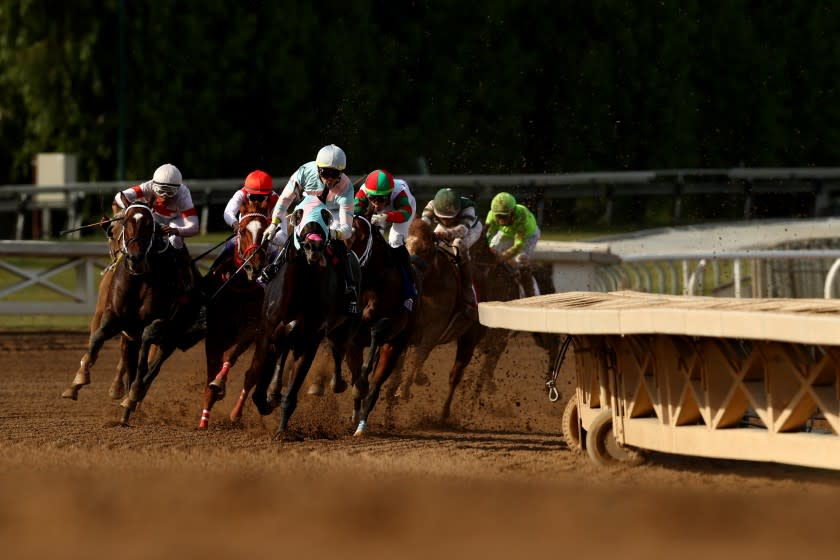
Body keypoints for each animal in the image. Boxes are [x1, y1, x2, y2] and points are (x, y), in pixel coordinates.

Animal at [60, 197, 203, 424]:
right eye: (125, 223)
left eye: (149, 224)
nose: (135, 257)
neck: (139, 280)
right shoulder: (114, 318)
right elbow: (97, 339)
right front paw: (77, 382)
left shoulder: (154, 323)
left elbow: (144, 353)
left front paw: (132, 394)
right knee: (132, 365)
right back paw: (125, 409)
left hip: (173, 336)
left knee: (152, 368)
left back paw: (132, 400)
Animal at [196, 199, 270, 430]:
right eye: (244, 230)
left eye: (265, 232)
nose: (254, 267)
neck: (240, 286)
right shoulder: (214, 334)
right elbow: (211, 373)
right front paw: (204, 420)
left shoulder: (253, 328)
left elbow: (231, 359)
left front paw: (219, 383)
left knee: (250, 373)